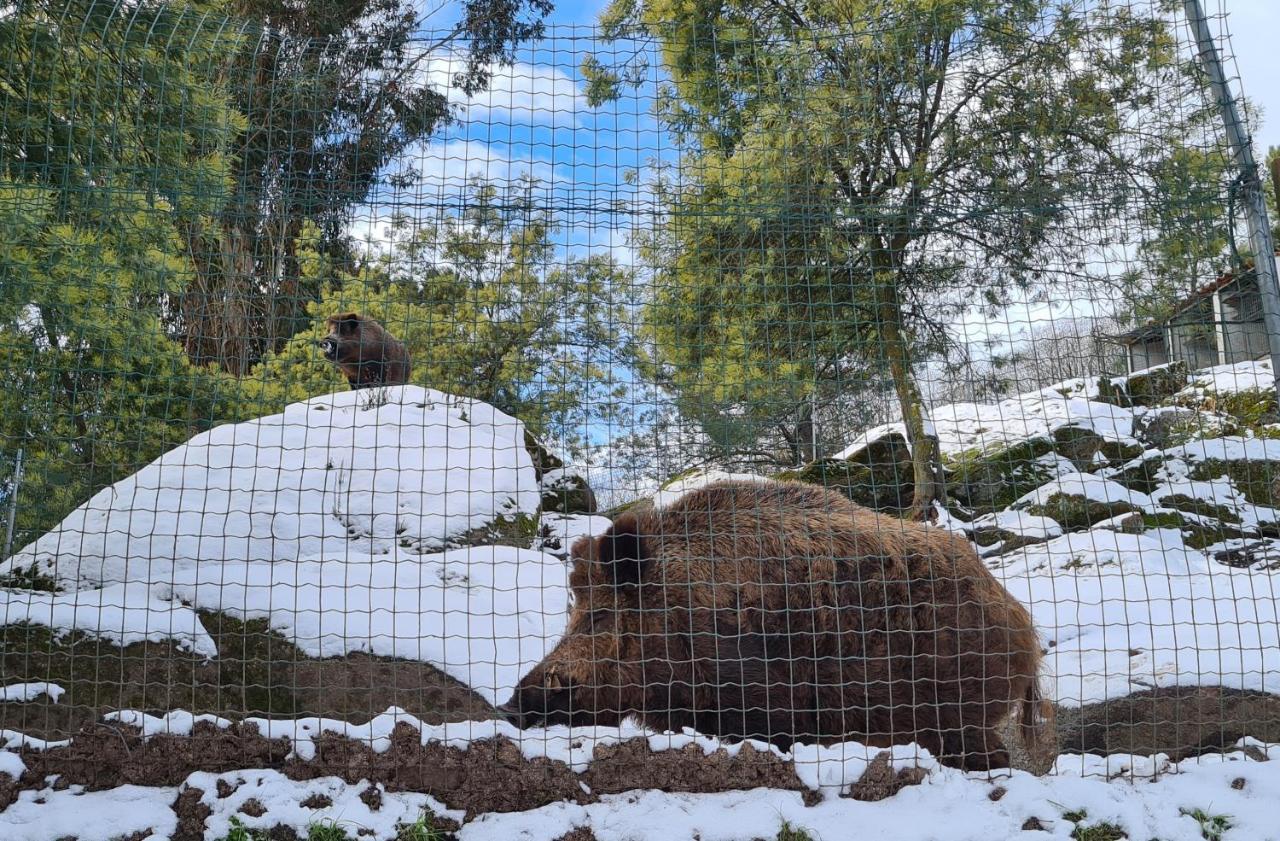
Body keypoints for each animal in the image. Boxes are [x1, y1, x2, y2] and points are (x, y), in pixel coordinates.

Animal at [499, 476, 1049, 773]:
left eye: (599, 615)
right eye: (574, 609)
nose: (511, 706)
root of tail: (1022, 622)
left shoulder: (758, 706)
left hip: (957, 716)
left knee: (995, 759)